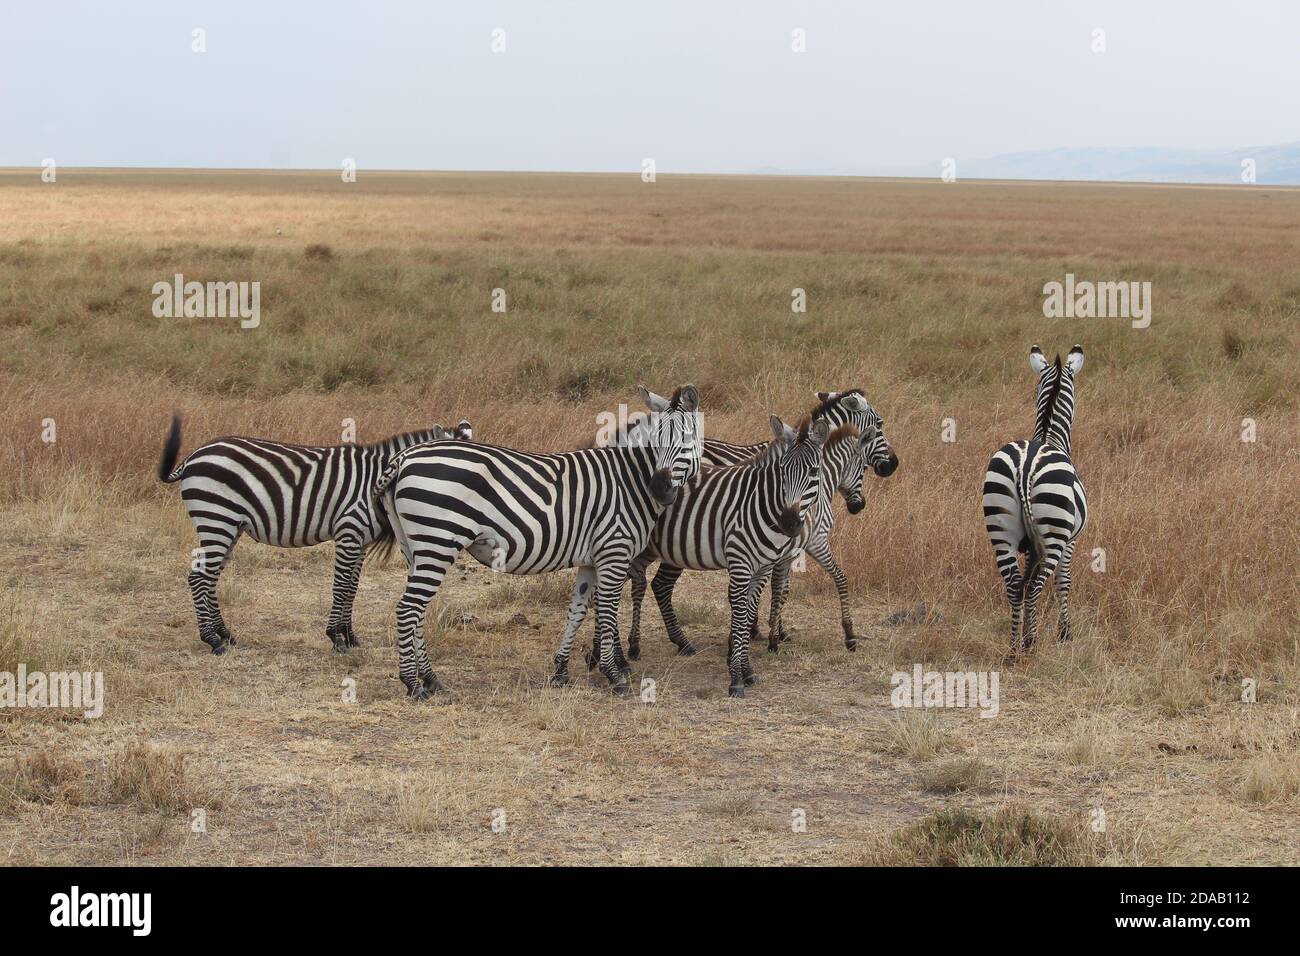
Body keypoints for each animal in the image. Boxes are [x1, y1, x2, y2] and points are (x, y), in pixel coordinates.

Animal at [157, 418, 473, 658]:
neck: (377, 478)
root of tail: (194, 456)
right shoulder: (349, 532)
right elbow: (341, 587)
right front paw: (336, 637)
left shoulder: (360, 541)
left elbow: (353, 588)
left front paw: (350, 635)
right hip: (216, 518)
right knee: (198, 578)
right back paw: (213, 640)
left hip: (229, 525)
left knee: (210, 578)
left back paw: (225, 634)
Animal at [371, 382, 707, 702]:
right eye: (656, 441)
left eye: (687, 439)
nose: (660, 489)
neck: (628, 479)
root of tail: (403, 457)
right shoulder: (614, 552)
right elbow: (608, 610)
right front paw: (615, 674)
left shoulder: (592, 559)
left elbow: (578, 611)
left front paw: (561, 671)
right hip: (437, 542)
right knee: (408, 609)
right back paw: (413, 685)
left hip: (415, 548)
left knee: (417, 612)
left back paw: (431, 679)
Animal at [582, 416, 832, 697]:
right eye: (781, 470)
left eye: (814, 472)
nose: (789, 522)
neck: (759, 502)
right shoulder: (740, 563)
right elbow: (741, 614)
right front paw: (736, 677)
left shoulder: (762, 568)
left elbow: (748, 613)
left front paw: (747, 670)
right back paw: (617, 661)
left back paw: (609, 657)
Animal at [764, 421, 878, 655]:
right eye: (864, 468)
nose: (859, 506)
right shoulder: (816, 543)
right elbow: (840, 578)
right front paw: (849, 634)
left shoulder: (790, 552)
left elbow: (781, 589)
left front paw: (774, 630)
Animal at [982, 343, 1086, 658]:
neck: (1050, 436)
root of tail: (1026, 465)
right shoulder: (1071, 540)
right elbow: (1064, 582)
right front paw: (1065, 633)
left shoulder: (1030, 546)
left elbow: (1028, 576)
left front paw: (1029, 629)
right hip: (1054, 534)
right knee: (1038, 584)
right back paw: (1029, 645)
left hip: (1000, 527)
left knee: (1016, 584)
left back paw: (1014, 649)